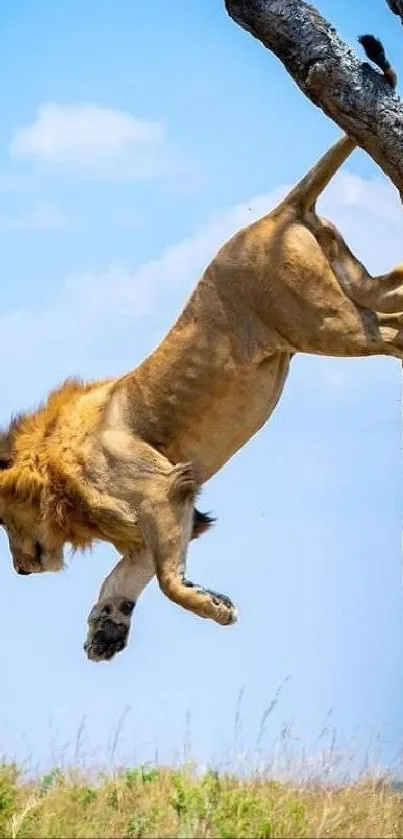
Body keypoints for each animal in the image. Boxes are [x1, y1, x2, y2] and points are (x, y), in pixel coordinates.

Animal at [0, 36, 403, 664]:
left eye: (4, 523)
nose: (19, 571)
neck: (63, 464)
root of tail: (277, 214)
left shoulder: (160, 491)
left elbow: (167, 583)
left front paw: (215, 609)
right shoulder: (171, 506)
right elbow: (126, 577)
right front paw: (106, 629)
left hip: (329, 326)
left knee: (394, 332)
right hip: (353, 287)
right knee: (398, 296)